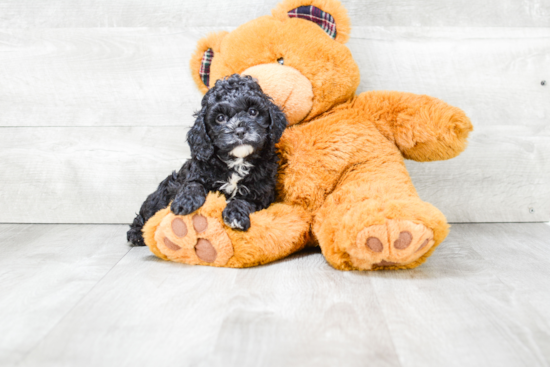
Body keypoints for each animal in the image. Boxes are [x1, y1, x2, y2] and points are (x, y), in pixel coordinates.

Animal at [126, 75, 286, 247]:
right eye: (220, 118)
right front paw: (185, 202)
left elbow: (245, 201)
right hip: (162, 193)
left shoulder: (262, 192)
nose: (240, 131)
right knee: (147, 212)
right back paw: (136, 234)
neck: (237, 161)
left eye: (253, 112)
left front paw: (236, 215)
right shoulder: (197, 171)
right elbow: (193, 184)